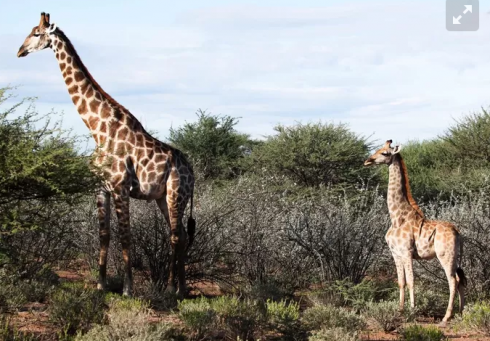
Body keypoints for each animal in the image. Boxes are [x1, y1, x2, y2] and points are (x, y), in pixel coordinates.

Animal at [18, 12, 195, 294]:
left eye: (36, 33)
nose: (19, 51)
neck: (98, 129)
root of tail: (193, 172)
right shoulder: (100, 188)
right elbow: (105, 234)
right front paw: (101, 284)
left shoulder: (121, 187)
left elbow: (125, 236)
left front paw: (127, 288)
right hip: (162, 198)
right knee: (180, 235)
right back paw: (180, 287)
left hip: (176, 194)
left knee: (177, 236)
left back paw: (172, 288)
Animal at [366, 140, 466, 324]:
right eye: (378, 149)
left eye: (385, 153)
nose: (368, 161)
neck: (397, 217)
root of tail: (458, 232)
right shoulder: (395, 253)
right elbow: (401, 281)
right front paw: (399, 310)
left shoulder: (406, 252)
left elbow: (412, 281)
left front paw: (412, 311)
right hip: (456, 256)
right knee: (461, 280)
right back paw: (462, 313)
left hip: (445, 255)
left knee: (452, 280)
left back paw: (446, 317)